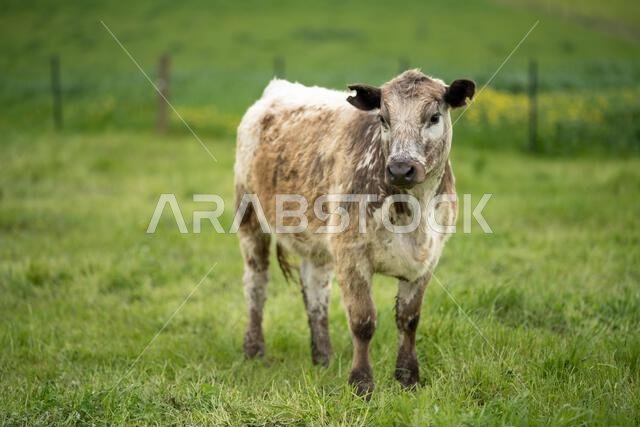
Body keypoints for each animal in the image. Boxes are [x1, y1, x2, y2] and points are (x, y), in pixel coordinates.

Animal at [234, 69, 475, 397]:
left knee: (316, 290)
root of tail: (276, 89)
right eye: (383, 118)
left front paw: (408, 378)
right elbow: (363, 321)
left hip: (317, 241)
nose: (401, 168)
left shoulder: (427, 258)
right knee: (256, 283)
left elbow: (409, 319)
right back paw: (254, 349)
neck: (414, 212)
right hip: (250, 216)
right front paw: (361, 383)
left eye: (434, 117)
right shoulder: (351, 252)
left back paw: (323, 357)